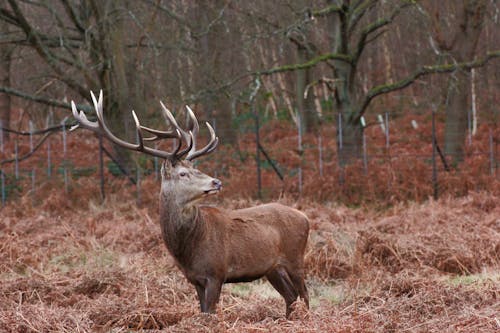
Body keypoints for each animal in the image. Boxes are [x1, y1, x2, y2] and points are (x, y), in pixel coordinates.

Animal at [71, 91, 308, 316]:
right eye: (183, 173)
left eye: (195, 168)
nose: (216, 181)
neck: (188, 248)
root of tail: (305, 217)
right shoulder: (195, 279)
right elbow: (202, 310)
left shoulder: (216, 272)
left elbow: (210, 313)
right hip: (272, 268)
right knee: (291, 296)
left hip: (295, 257)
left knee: (304, 294)